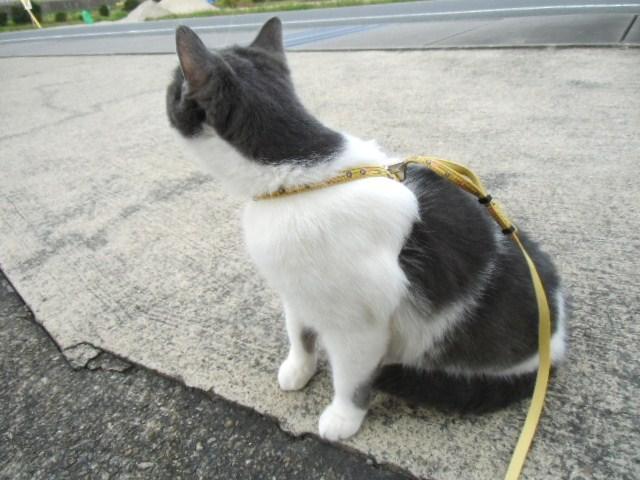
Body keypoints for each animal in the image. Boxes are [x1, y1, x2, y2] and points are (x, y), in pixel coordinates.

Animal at [166, 17, 568, 441]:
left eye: (173, 83)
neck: (300, 175)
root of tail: (555, 343)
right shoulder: (296, 291)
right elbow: (299, 333)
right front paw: (298, 368)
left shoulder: (359, 327)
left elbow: (350, 379)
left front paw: (343, 417)